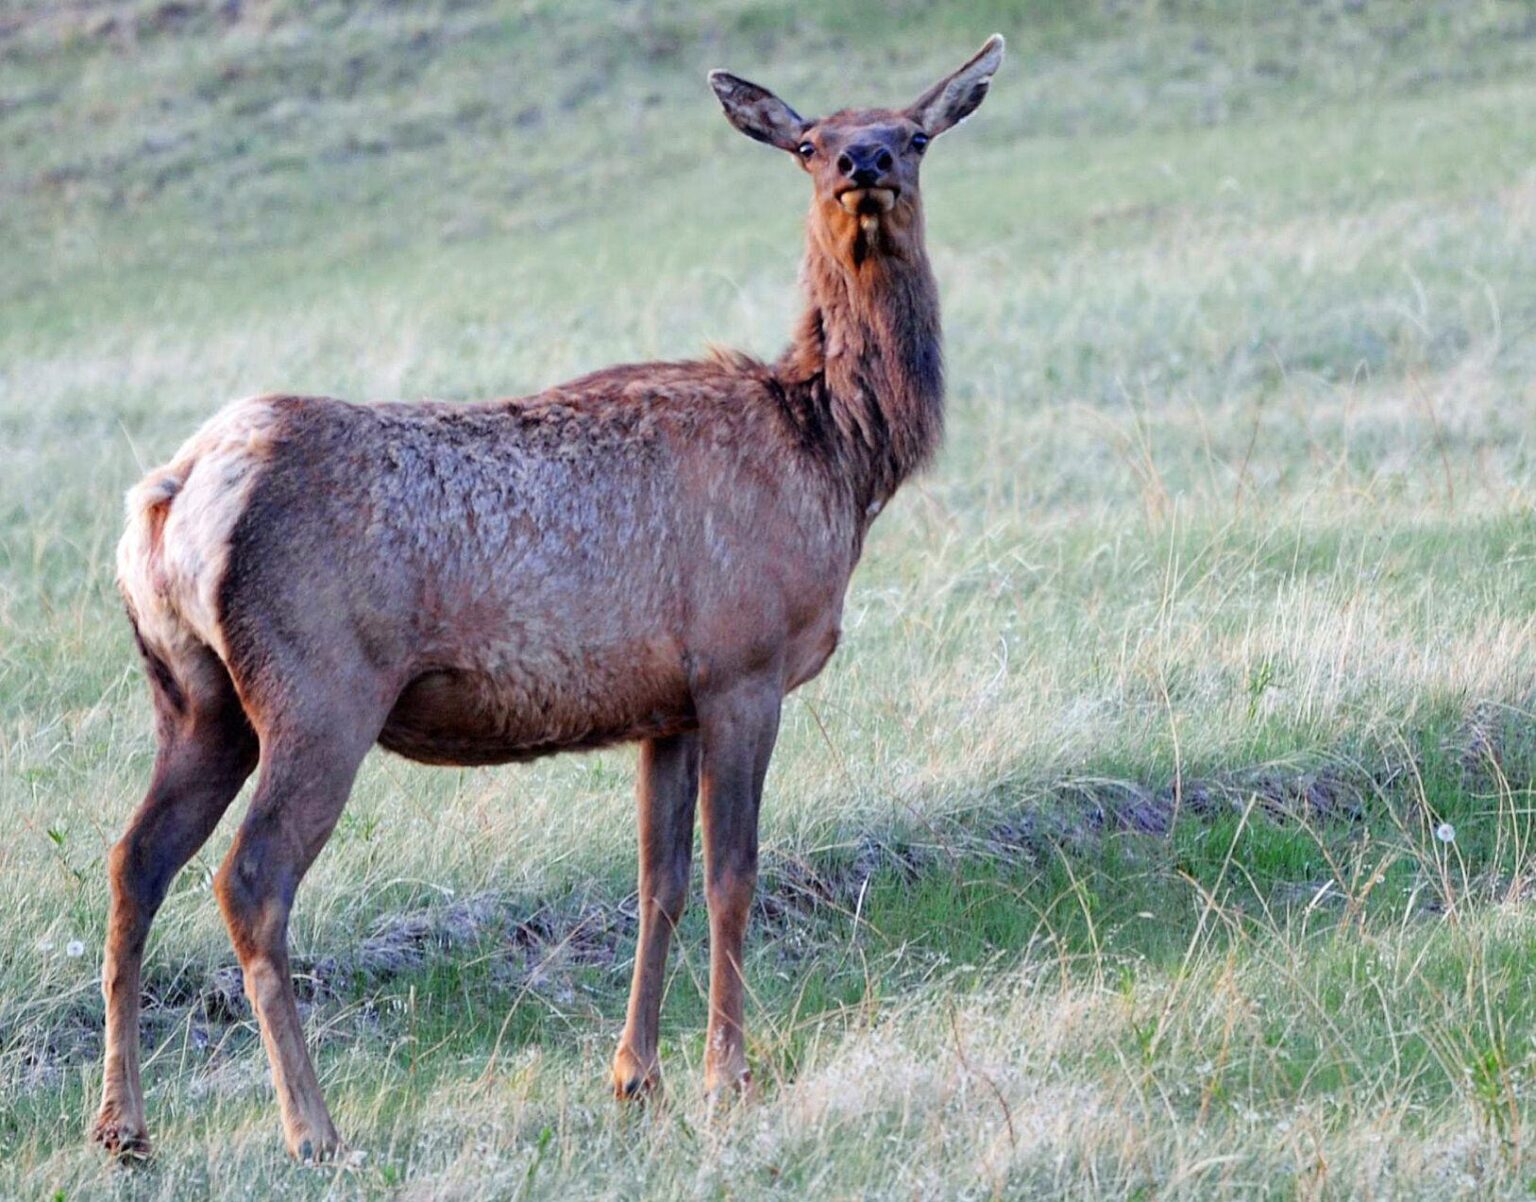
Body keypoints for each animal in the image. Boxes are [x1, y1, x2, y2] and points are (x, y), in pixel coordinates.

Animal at [96, 37, 1007, 1160]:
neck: (837, 459)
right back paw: (312, 1126)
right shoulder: (743, 664)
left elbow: (659, 882)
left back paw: (123, 1126)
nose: (864, 163)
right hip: (319, 689)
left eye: (914, 133)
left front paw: (637, 1076)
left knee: (134, 861)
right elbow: (733, 873)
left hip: (196, 698)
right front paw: (730, 1078)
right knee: (251, 879)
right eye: (808, 141)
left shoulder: (668, 703)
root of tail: (171, 495)